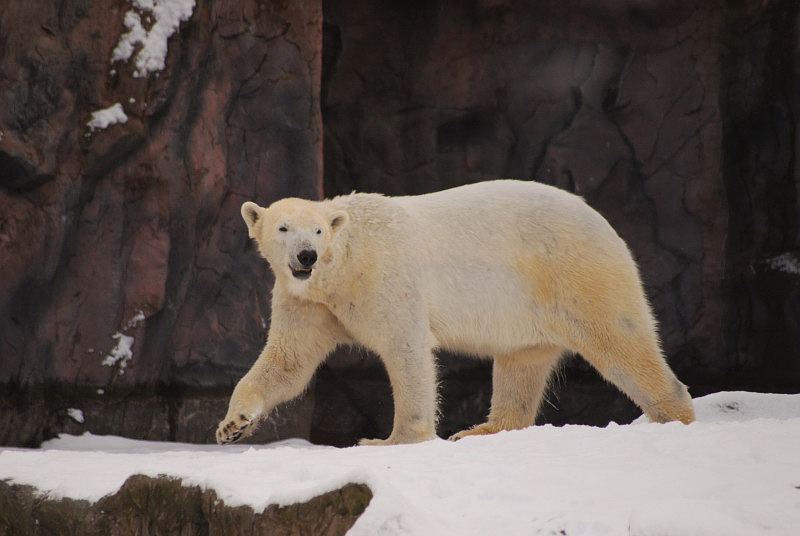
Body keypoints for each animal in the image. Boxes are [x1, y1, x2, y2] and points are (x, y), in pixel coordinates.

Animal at [216, 179, 695, 446]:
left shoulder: (384, 277)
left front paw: (388, 441)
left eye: (316, 230)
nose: (307, 256)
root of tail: (602, 220)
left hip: (577, 271)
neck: (345, 264)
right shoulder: (308, 301)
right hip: (531, 304)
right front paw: (232, 425)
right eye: (283, 228)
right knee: (521, 364)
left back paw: (675, 414)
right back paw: (484, 429)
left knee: (621, 341)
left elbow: (406, 348)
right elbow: (288, 363)